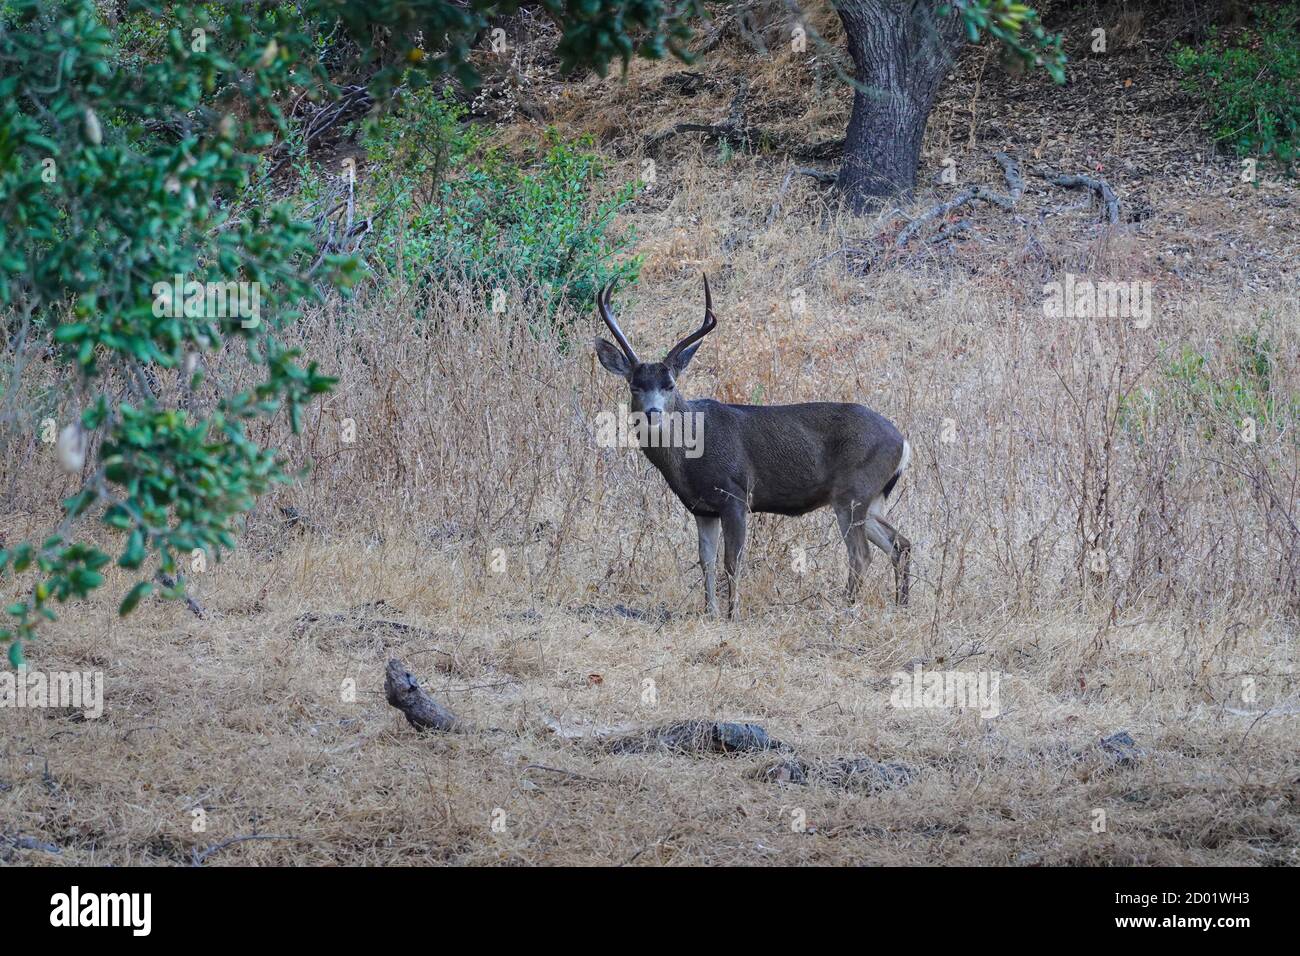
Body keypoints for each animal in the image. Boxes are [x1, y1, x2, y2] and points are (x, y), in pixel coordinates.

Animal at [594, 275, 912, 618]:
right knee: (900, 543)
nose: (653, 413)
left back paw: (847, 608)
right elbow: (705, 561)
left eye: (669, 385)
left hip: (853, 491)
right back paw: (901, 604)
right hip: (871, 498)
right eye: (634, 386)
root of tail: (902, 442)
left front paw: (732, 615)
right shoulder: (701, 508)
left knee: (861, 554)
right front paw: (711, 612)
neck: (689, 454)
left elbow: (732, 562)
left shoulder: (736, 495)